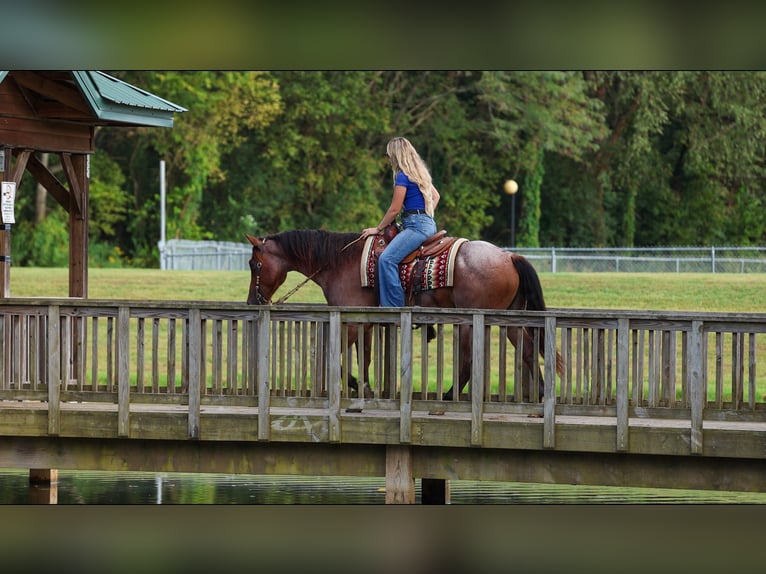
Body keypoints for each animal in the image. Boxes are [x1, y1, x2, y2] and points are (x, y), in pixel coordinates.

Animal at [245, 226, 563, 401]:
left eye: (255, 264)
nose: (252, 300)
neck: (340, 262)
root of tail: (509, 256)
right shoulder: (365, 322)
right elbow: (365, 358)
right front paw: (366, 387)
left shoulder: (351, 322)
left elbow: (336, 360)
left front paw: (355, 384)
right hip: (510, 319)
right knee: (527, 349)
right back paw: (540, 393)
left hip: (471, 321)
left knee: (468, 362)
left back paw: (448, 396)